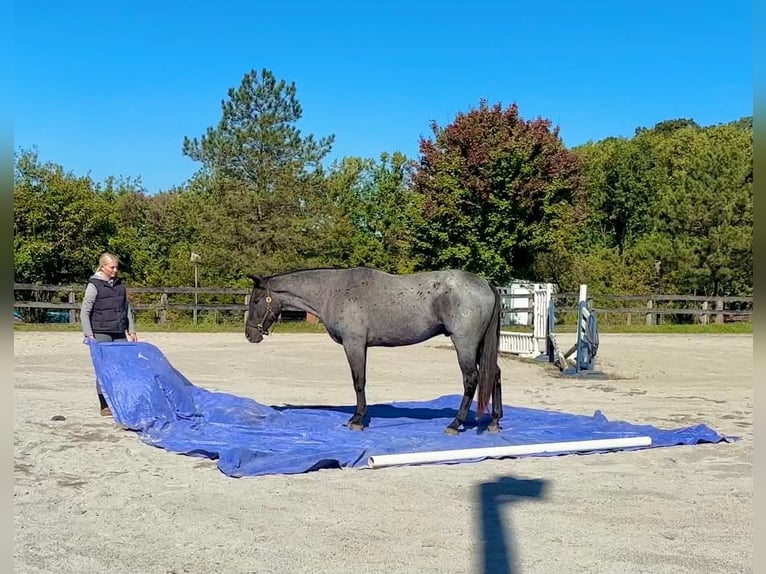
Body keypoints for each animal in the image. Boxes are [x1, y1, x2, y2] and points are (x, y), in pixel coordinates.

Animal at [244, 267, 503, 434]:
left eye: (256, 301)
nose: (250, 335)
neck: (333, 290)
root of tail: (486, 284)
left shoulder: (354, 344)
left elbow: (359, 382)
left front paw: (357, 419)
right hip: (480, 346)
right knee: (494, 374)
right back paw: (494, 421)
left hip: (465, 344)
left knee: (471, 379)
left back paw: (455, 424)